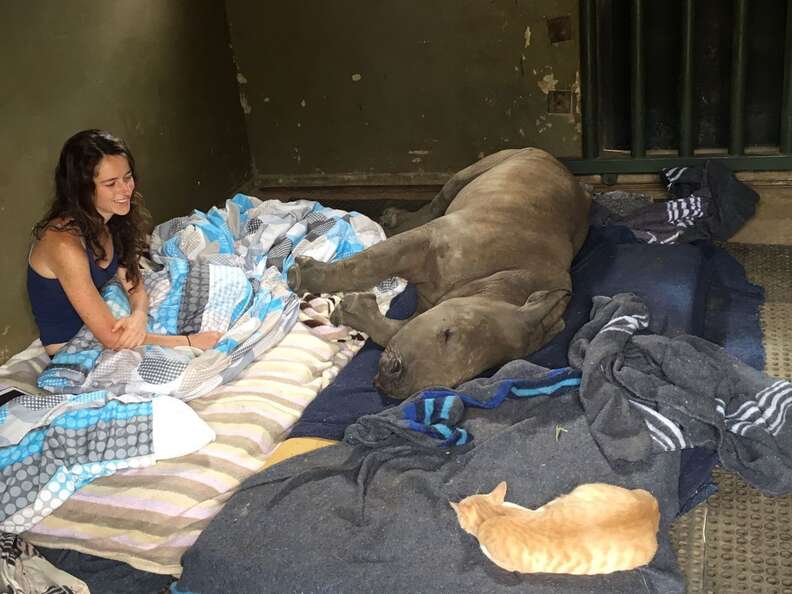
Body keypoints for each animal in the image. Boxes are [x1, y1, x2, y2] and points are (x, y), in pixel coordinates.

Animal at [288, 147, 592, 398]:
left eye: (459, 382)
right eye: (447, 333)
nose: (393, 379)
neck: (503, 289)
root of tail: (560, 165)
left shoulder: (431, 306)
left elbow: (395, 329)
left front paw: (351, 310)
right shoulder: (435, 242)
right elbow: (367, 264)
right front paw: (303, 277)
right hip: (509, 156)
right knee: (450, 189)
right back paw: (392, 219)